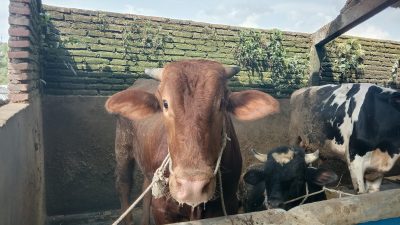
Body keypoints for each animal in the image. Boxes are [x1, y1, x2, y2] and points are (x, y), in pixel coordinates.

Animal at [106, 59, 282, 225]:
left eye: (222, 103)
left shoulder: (229, 204)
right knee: (124, 183)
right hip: (123, 149)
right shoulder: (161, 209)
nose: (192, 188)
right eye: (165, 104)